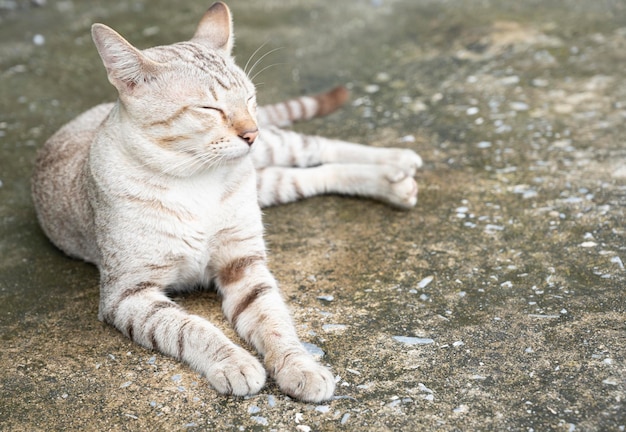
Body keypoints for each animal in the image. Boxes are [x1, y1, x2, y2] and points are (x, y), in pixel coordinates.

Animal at [29, 1, 420, 404]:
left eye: (249, 98)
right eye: (208, 109)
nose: (251, 132)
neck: (194, 180)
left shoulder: (243, 263)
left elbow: (274, 322)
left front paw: (300, 366)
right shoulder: (128, 293)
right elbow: (189, 328)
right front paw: (234, 362)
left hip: (271, 153)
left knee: (317, 147)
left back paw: (397, 160)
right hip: (268, 182)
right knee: (314, 173)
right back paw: (394, 180)